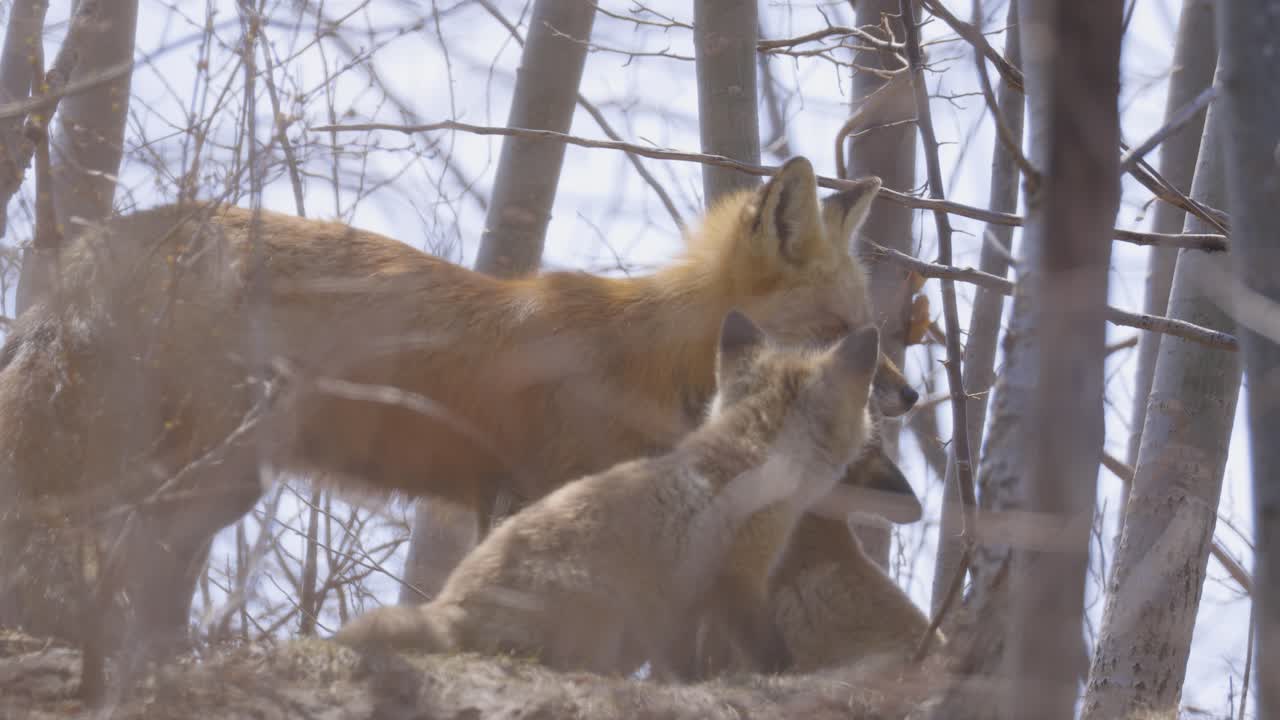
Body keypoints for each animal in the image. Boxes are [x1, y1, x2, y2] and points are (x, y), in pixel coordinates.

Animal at [333, 313, 882, 675]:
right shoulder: (737, 579)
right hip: (603, 614)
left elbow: (686, 666)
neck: (749, 454)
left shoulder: (686, 608)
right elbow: (767, 653)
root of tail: (451, 605)